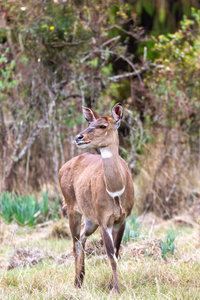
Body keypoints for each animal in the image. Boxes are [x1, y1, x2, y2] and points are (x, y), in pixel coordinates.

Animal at [58, 103, 135, 292]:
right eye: (90, 123)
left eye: (102, 125)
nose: (79, 137)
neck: (116, 191)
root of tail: (62, 168)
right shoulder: (104, 220)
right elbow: (111, 256)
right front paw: (116, 289)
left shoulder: (121, 219)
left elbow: (116, 253)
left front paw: (111, 286)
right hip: (72, 210)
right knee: (75, 243)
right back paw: (77, 283)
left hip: (90, 220)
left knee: (82, 238)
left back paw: (80, 280)